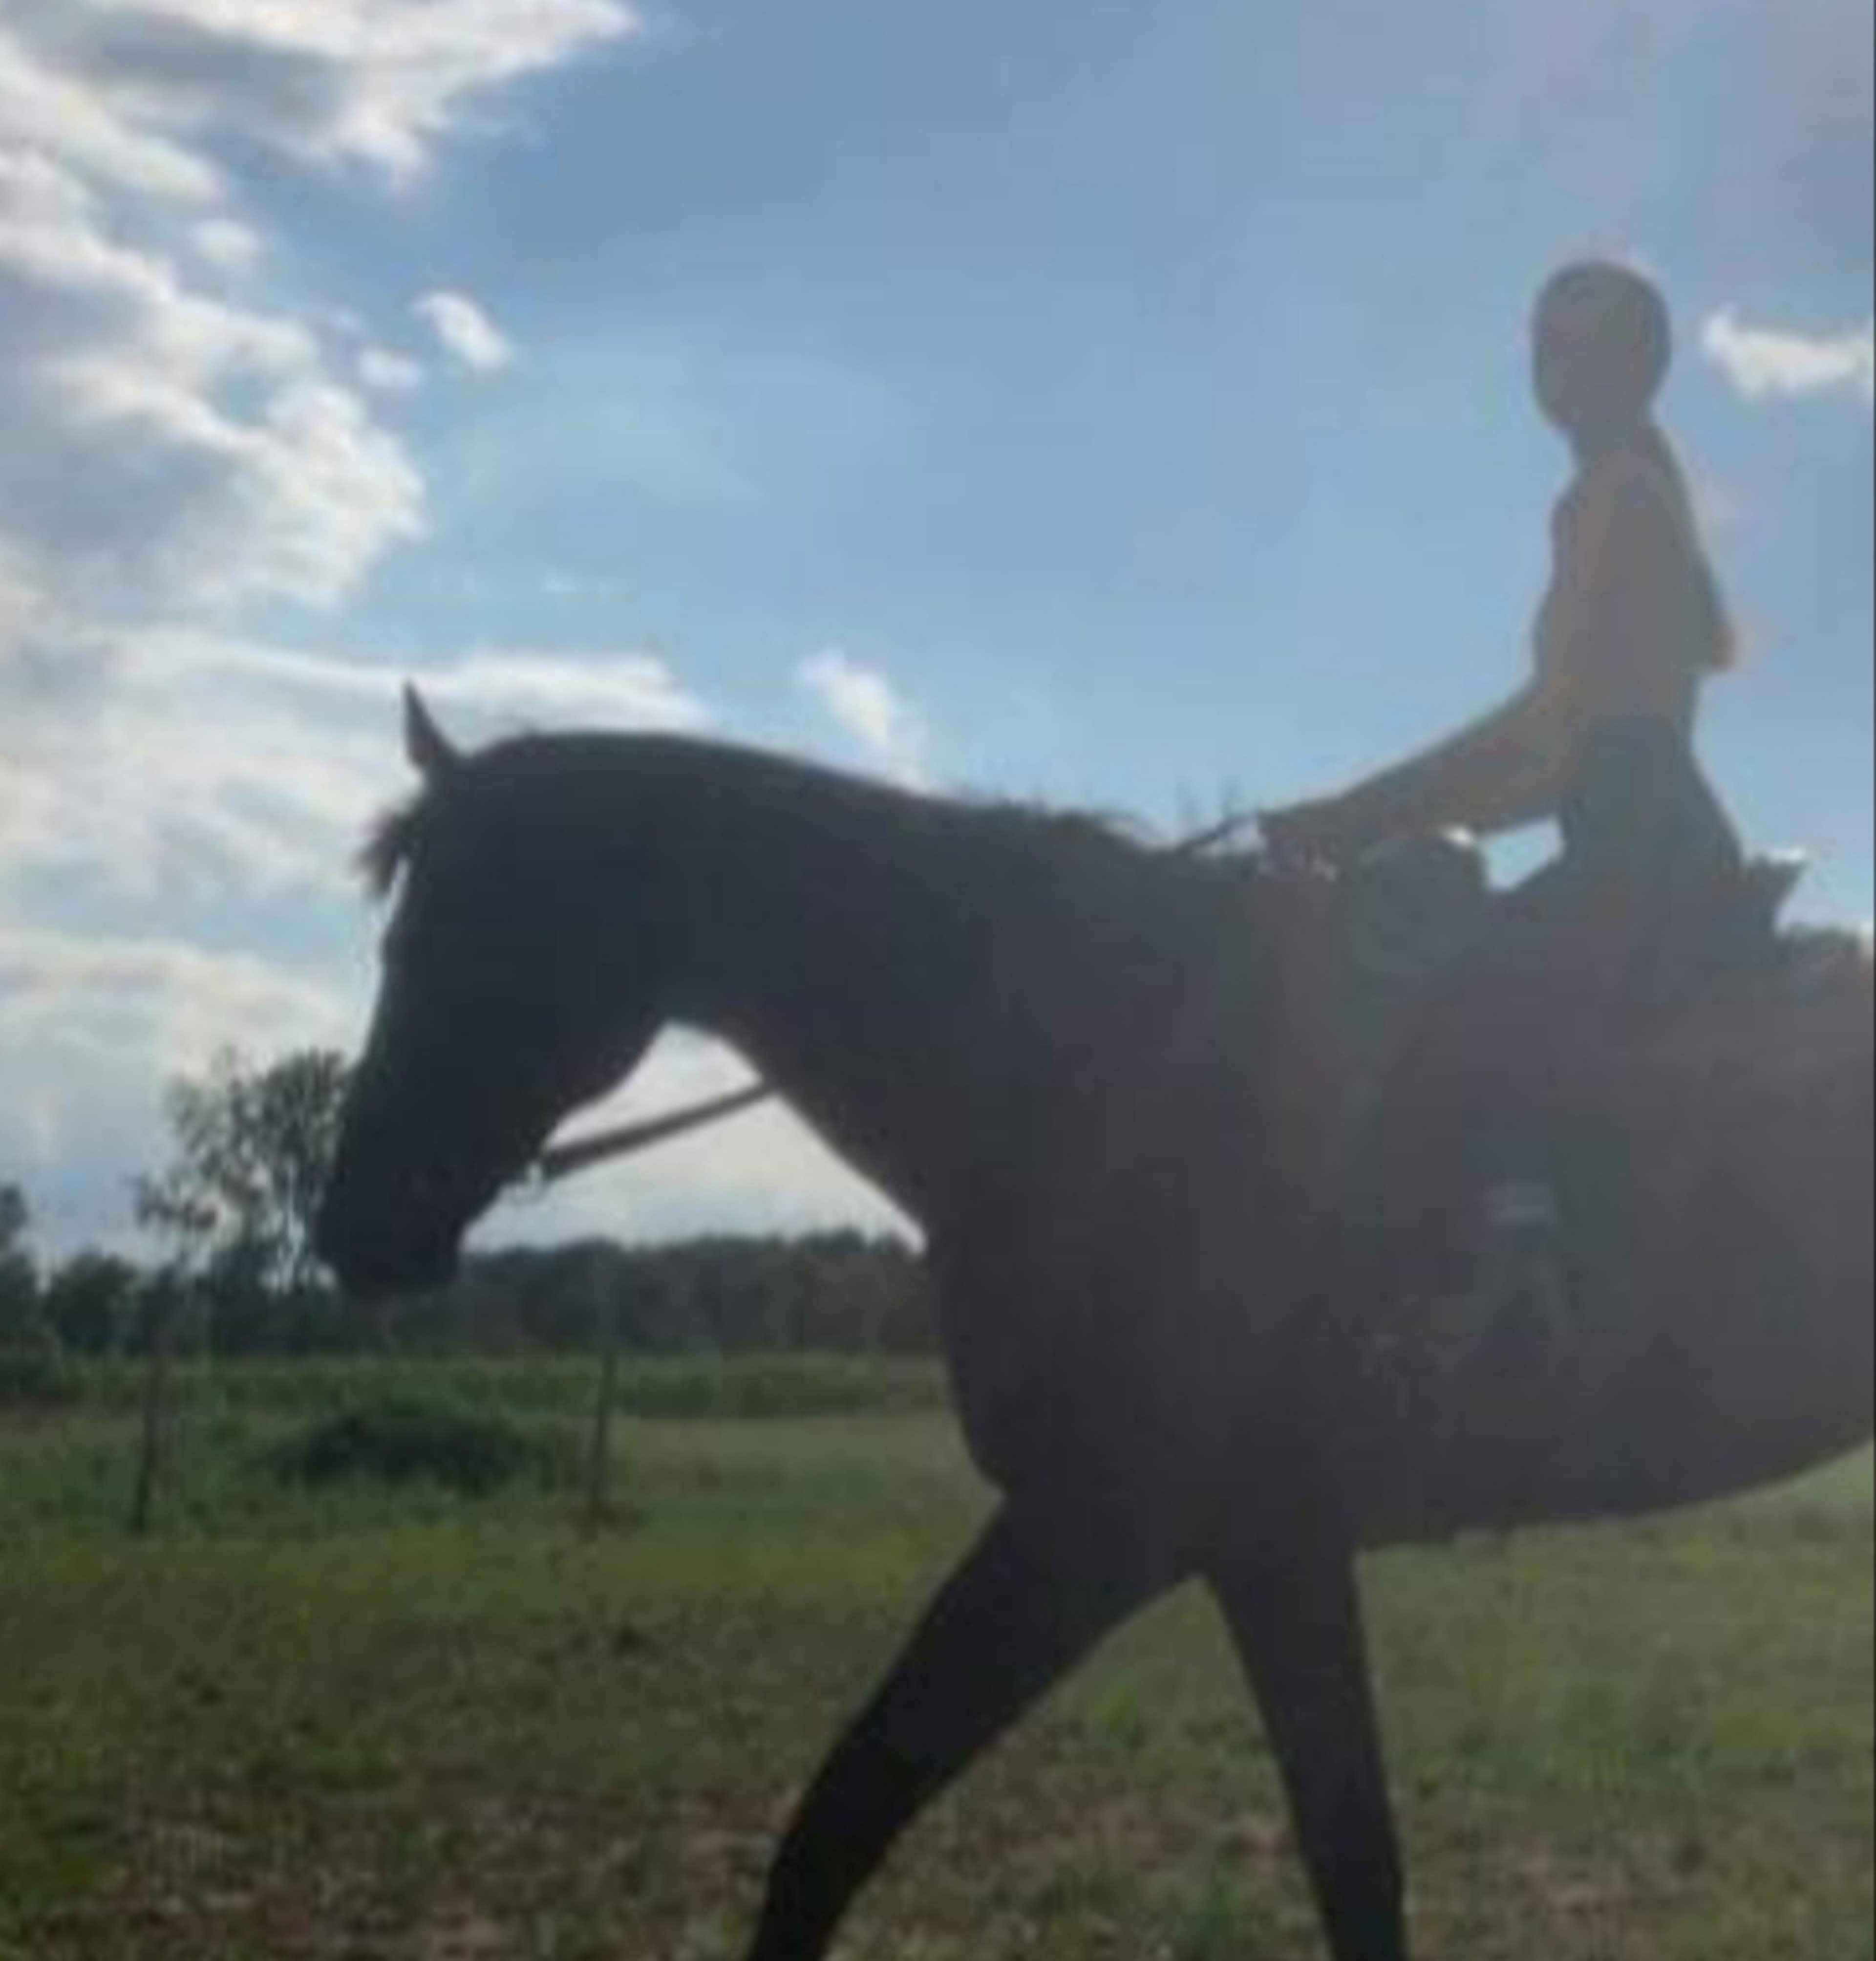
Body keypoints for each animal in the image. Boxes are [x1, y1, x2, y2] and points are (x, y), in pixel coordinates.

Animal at [316, 687, 1875, 1961]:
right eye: (398, 932)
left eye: (460, 932)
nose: (350, 1223)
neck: (1099, 1061)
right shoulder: (1265, 1548)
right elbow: (1351, 1863)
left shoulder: (1099, 1530)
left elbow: (841, 1817)